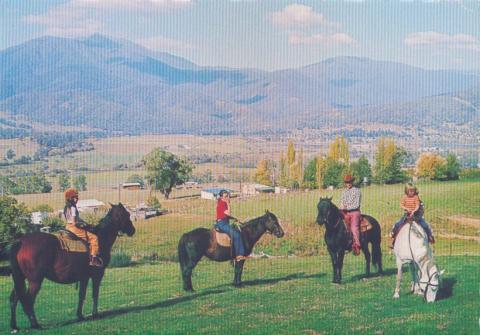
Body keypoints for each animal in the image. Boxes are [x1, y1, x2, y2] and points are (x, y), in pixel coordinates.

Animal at [8, 203, 135, 332]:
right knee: (28, 300)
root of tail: (21, 242)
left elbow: (82, 295)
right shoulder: (97, 275)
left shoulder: (84, 277)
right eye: (127, 214)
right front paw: (95, 314)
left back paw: (14, 326)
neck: (101, 237)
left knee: (14, 298)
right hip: (35, 281)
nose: (132, 230)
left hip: (20, 278)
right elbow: (95, 294)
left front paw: (80, 315)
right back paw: (35, 324)